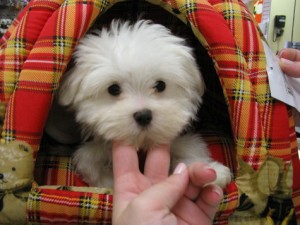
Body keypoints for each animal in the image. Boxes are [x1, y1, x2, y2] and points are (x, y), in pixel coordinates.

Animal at [59, 19, 232, 188]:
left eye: (160, 85)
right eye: (113, 89)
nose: (143, 116)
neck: (142, 144)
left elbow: (190, 149)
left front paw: (212, 172)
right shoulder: (92, 149)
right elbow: (89, 165)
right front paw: (111, 181)